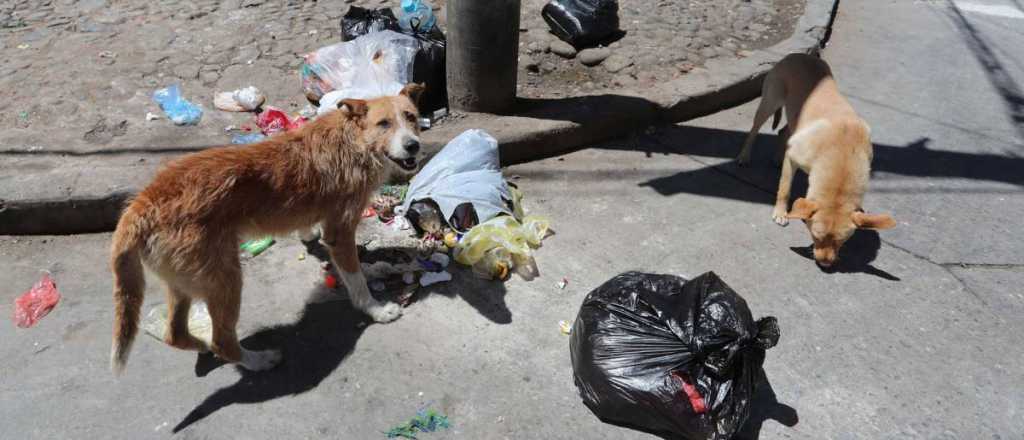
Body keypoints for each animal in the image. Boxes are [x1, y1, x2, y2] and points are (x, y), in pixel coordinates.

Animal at [113, 84, 428, 372]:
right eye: (384, 124)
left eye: (411, 117)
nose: (413, 145)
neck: (354, 139)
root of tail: (145, 200)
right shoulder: (340, 233)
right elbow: (356, 279)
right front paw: (376, 310)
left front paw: (316, 239)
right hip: (225, 280)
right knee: (222, 340)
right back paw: (258, 360)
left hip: (183, 282)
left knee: (175, 335)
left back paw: (200, 345)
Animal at [737, 55, 897, 268]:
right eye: (816, 236)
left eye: (841, 242)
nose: (825, 264)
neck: (842, 156)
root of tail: (799, 55)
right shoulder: (793, 159)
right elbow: (784, 189)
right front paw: (781, 213)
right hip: (770, 102)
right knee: (754, 130)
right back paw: (744, 156)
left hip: (795, 116)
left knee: (784, 131)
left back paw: (777, 157)